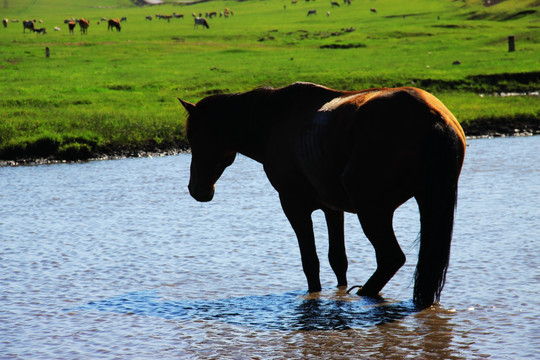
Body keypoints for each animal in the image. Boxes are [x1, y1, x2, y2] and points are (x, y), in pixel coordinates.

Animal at [179, 81, 466, 306]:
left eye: (194, 137)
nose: (197, 189)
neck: (275, 120)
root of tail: (433, 117)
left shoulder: (293, 204)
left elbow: (311, 261)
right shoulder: (332, 207)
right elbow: (338, 259)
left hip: (373, 210)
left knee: (390, 257)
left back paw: (364, 293)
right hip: (424, 201)